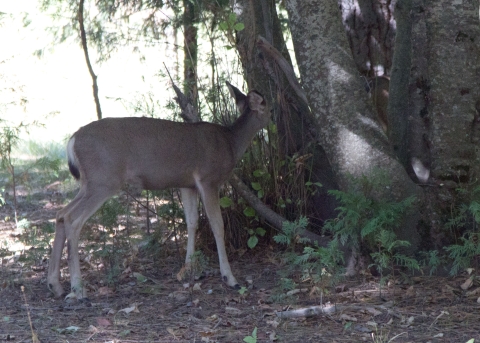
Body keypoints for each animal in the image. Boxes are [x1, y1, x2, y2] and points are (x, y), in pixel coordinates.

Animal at [47, 83, 268, 300]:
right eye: (268, 106)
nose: (272, 119)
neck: (231, 142)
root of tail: (72, 141)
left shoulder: (187, 184)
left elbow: (192, 222)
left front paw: (188, 270)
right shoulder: (208, 179)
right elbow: (218, 225)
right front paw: (230, 277)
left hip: (89, 183)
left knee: (61, 213)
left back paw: (55, 285)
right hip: (104, 180)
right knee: (72, 219)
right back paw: (77, 288)